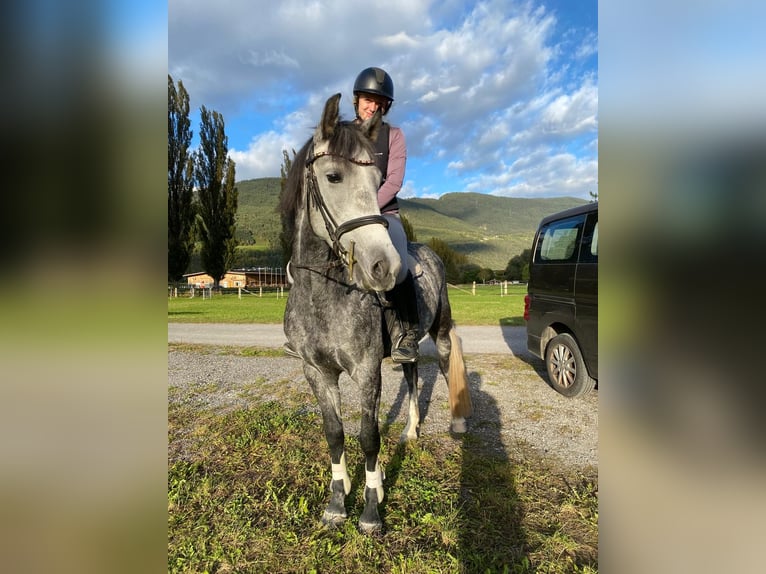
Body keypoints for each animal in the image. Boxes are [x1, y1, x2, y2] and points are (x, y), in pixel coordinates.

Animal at [280, 93, 472, 534]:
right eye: (333, 176)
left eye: (376, 180)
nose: (383, 267)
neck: (323, 295)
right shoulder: (316, 372)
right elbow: (334, 433)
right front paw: (337, 502)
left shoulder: (367, 370)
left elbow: (368, 436)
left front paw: (370, 509)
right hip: (406, 348)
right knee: (413, 373)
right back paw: (411, 430)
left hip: (440, 330)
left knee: (445, 361)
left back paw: (455, 424)